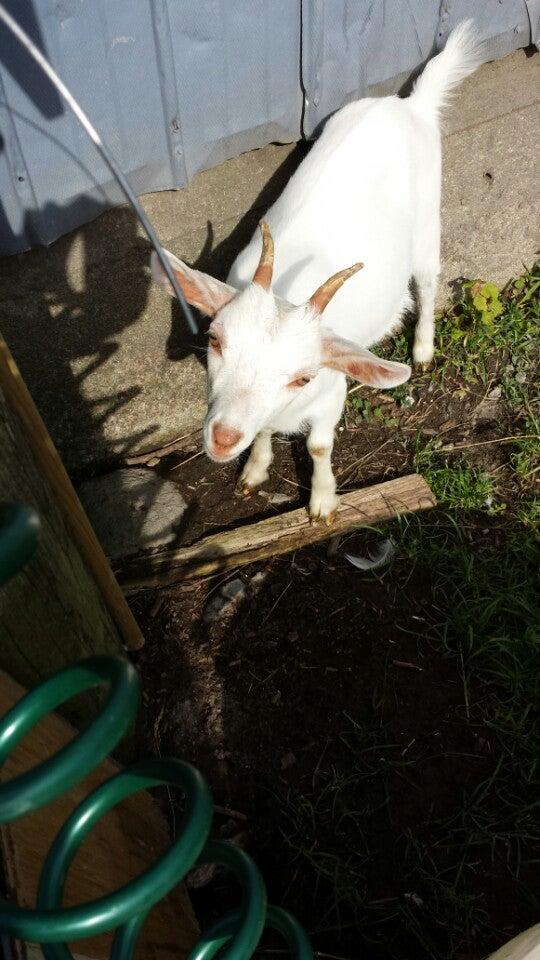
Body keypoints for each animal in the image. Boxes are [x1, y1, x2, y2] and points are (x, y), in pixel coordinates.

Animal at [153, 22, 486, 520]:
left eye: (303, 376)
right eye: (215, 341)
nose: (223, 438)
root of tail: (409, 104)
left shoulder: (333, 392)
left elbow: (319, 446)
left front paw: (323, 502)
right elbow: (264, 430)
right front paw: (254, 470)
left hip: (429, 221)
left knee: (428, 284)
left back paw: (424, 349)